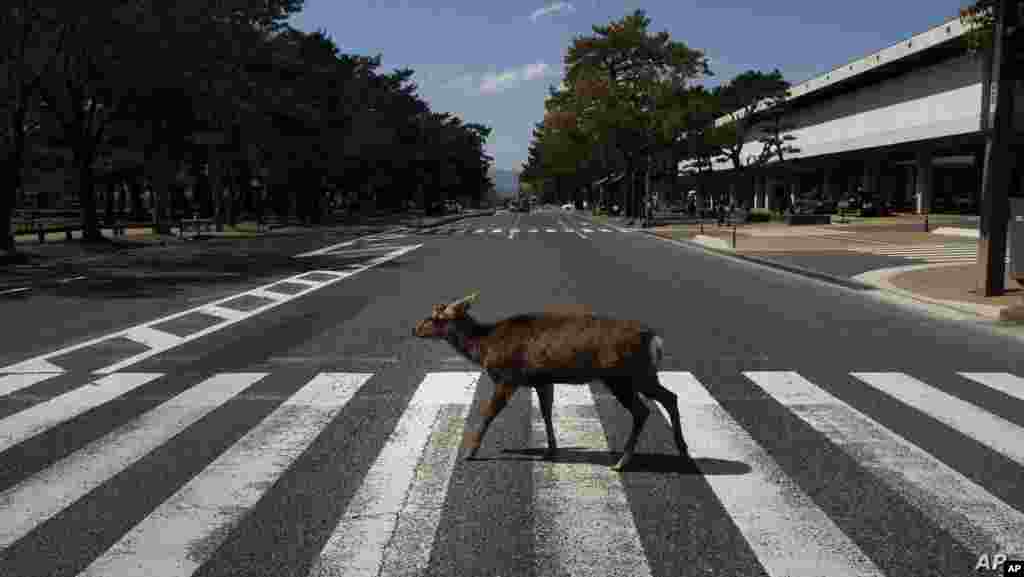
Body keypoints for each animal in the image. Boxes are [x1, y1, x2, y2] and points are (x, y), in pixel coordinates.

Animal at [411, 291, 692, 471]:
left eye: (436, 317)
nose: (414, 329)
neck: (485, 346)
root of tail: (655, 340)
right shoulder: (542, 380)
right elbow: (546, 412)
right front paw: (551, 449)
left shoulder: (509, 377)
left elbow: (489, 412)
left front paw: (470, 452)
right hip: (644, 374)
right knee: (670, 397)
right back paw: (682, 449)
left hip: (621, 377)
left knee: (643, 410)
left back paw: (622, 462)